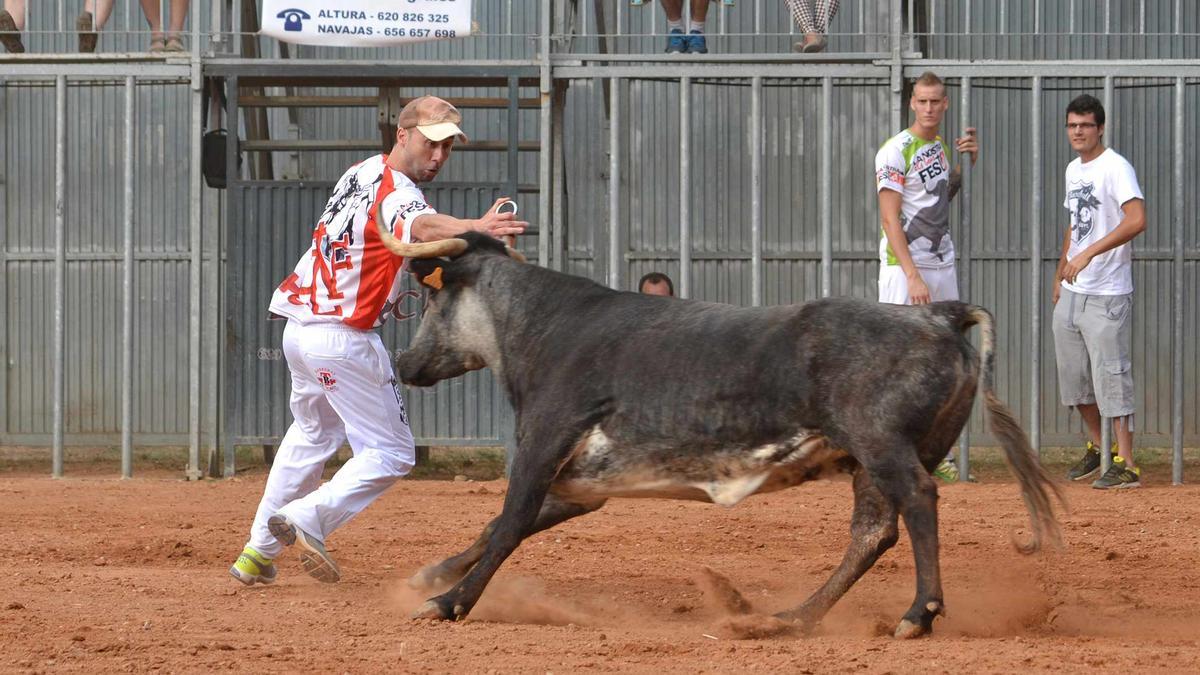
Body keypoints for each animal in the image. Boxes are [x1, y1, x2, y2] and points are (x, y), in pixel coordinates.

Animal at [374, 229, 1060, 634]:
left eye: (433, 300)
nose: (407, 364)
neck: (545, 328)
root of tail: (937, 315)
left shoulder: (541, 448)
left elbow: (510, 521)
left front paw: (449, 601)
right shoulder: (580, 486)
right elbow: (499, 526)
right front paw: (429, 577)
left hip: (882, 445)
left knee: (916, 500)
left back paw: (918, 614)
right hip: (873, 460)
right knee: (873, 531)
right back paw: (789, 619)